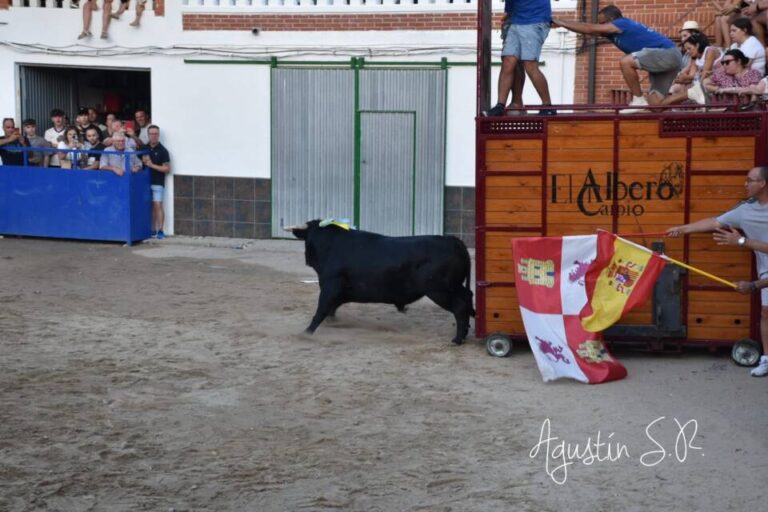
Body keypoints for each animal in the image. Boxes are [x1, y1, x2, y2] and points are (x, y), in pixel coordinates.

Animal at [288, 220, 474, 344]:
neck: (331, 245)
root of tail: (453, 241)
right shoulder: (340, 292)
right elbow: (331, 308)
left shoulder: (330, 286)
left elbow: (321, 309)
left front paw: (305, 333)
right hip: (453, 287)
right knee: (467, 297)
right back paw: (464, 333)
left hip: (439, 290)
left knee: (459, 306)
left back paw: (457, 339)